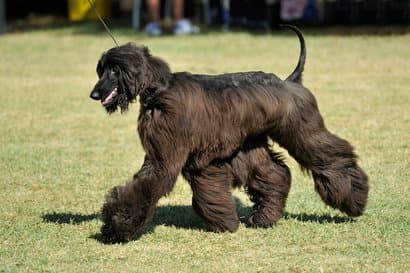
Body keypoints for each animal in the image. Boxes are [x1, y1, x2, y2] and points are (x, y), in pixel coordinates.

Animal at [89, 25, 368, 241]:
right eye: (101, 69)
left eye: (114, 70)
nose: (94, 94)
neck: (160, 90)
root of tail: (290, 81)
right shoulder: (203, 158)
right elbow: (209, 189)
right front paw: (225, 223)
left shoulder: (168, 154)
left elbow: (149, 182)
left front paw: (116, 226)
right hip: (249, 143)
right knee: (275, 173)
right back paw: (264, 217)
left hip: (301, 129)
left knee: (329, 156)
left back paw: (355, 200)